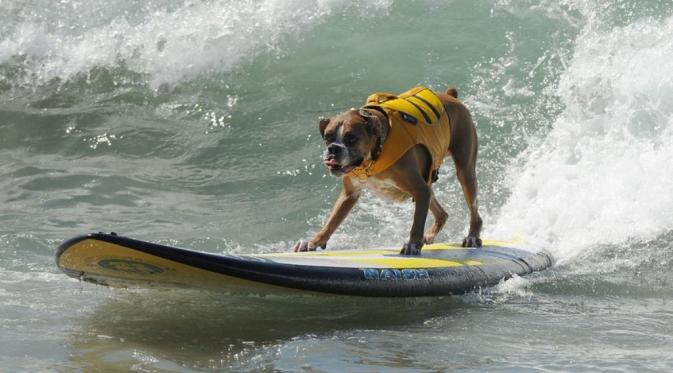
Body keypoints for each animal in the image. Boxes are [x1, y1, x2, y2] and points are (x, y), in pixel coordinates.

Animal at [292, 85, 480, 254]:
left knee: (474, 212)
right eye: (327, 137)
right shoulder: (349, 194)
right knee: (442, 214)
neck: (374, 155)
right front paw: (313, 242)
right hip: (426, 185)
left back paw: (472, 237)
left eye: (351, 138)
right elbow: (331, 222)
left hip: (464, 172)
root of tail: (450, 96)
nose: (333, 148)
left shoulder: (420, 190)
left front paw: (412, 244)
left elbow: (417, 223)